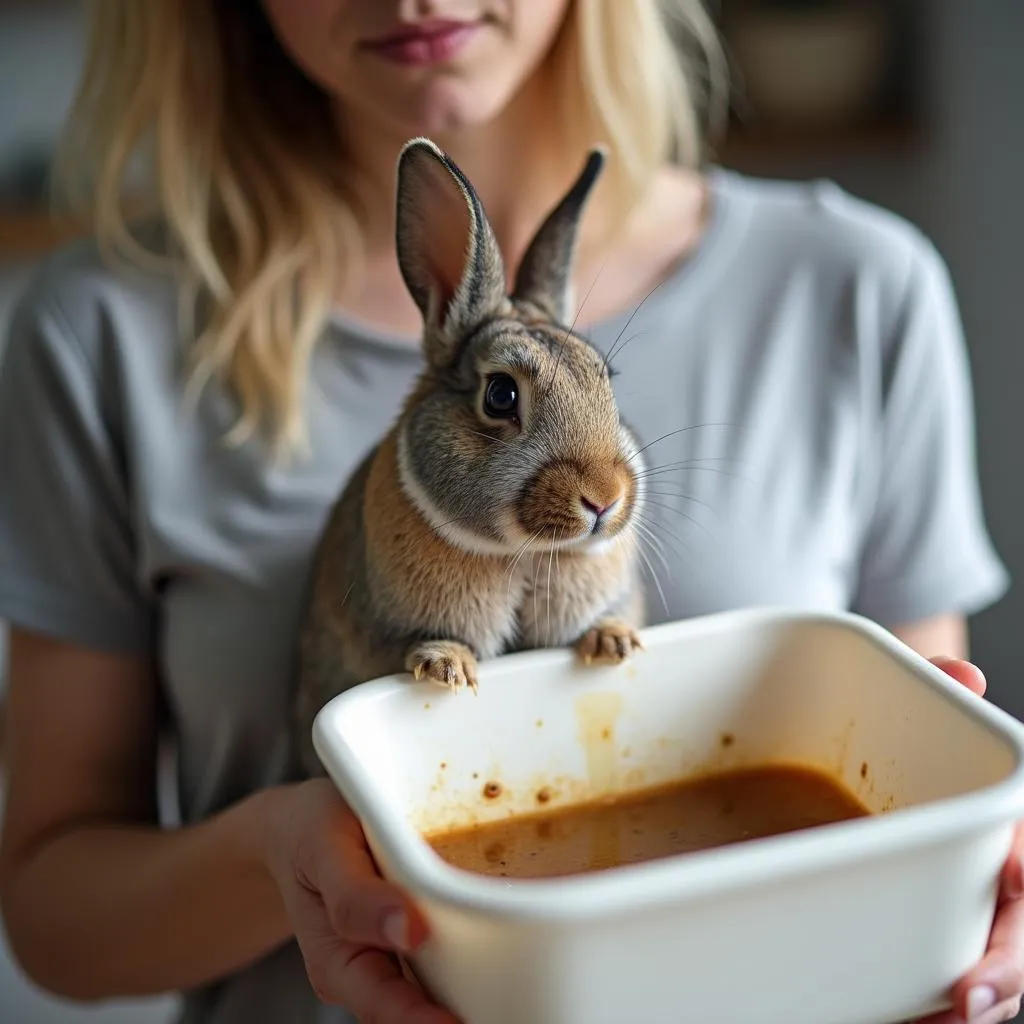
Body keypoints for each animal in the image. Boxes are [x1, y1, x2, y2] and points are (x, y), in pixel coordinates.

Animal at [292, 136, 643, 774]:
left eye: (605, 380)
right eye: (500, 395)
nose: (605, 499)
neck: (526, 555)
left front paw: (614, 641)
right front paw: (446, 667)